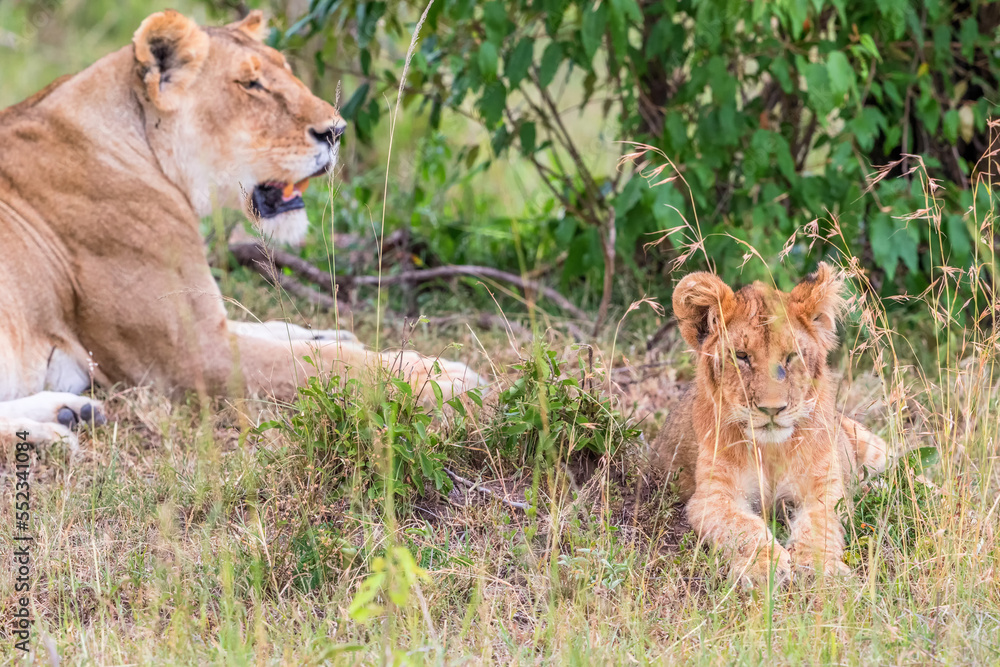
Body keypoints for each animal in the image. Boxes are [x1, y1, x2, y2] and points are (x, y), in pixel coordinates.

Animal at [0, 10, 482, 445]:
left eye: (287, 71)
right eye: (251, 85)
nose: (336, 131)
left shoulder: (210, 320)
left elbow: (278, 333)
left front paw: (335, 334)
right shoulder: (191, 355)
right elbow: (319, 366)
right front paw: (442, 377)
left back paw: (69, 412)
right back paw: (49, 430)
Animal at [650, 263, 890, 586]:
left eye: (791, 357)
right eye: (741, 357)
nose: (772, 409)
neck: (771, 451)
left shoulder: (826, 489)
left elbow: (819, 526)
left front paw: (817, 567)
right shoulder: (712, 497)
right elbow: (742, 528)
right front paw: (765, 566)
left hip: (874, 448)